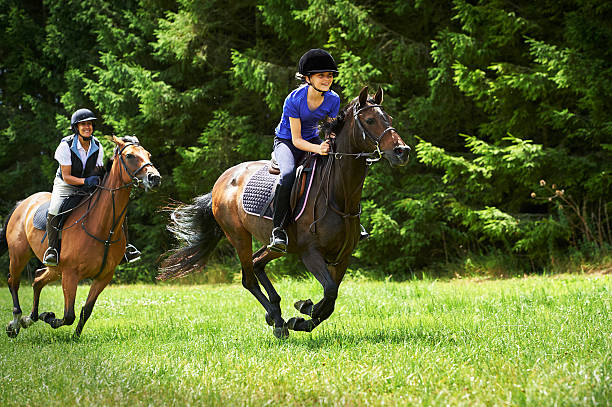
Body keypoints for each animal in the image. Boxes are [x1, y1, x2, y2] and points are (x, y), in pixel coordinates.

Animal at [0, 135, 161, 340]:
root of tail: (23, 203)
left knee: (37, 280)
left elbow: (86, 310)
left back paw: (29, 319)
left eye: (148, 155)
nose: (155, 178)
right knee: (14, 282)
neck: (102, 227)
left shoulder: (104, 276)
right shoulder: (70, 274)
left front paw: (74, 337)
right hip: (19, 255)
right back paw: (15, 323)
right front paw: (48, 317)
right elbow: (69, 315)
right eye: (130, 156)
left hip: (55, 269)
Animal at [158, 87, 408, 340]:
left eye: (389, 119)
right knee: (248, 278)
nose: (402, 151)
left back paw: (275, 312)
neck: (339, 195)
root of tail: (221, 180)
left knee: (258, 263)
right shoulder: (311, 253)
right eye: (370, 120)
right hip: (239, 236)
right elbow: (329, 293)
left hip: (276, 245)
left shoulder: (343, 257)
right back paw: (277, 321)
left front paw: (302, 317)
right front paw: (304, 310)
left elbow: (331, 299)